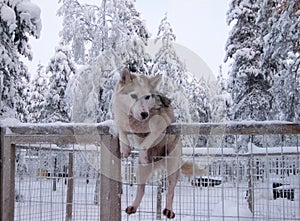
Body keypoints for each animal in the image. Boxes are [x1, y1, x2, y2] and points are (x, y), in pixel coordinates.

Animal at [111, 68, 205, 218]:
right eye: (133, 96)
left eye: (147, 97)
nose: (144, 114)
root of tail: (158, 162)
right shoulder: (120, 121)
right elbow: (121, 130)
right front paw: (125, 148)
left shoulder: (161, 126)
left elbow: (146, 142)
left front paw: (143, 153)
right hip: (140, 170)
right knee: (141, 189)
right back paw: (133, 206)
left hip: (172, 168)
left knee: (170, 191)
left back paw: (168, 210)